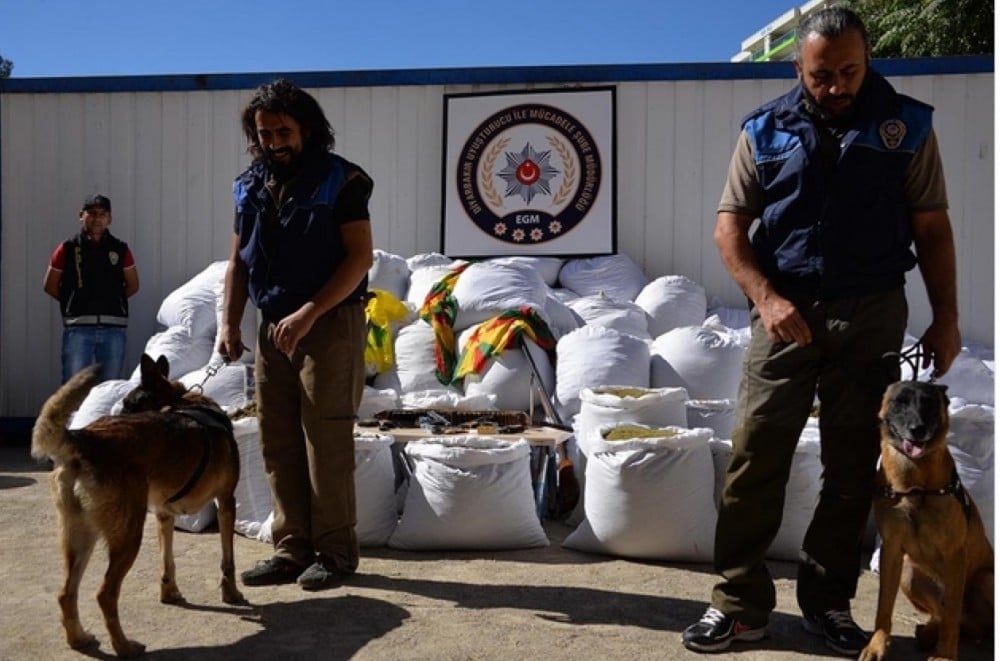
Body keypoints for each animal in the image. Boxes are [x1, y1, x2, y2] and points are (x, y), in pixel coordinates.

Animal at [32, 354, 244, 656]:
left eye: (129, 404)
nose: (117, 411)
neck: (183, 402)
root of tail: (86, 439)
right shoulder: (226, 502)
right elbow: (228, 560)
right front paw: (232, 593)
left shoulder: (164, 515)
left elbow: (167, 561)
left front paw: (170, 592)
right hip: (128, 535)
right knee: (105, 594)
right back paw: (123, 646)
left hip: (80, 537)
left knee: (66, 593)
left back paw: (79, 639)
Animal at [860, 378, 992, 660]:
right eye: (900, 402)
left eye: (930, 404)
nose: (917, 429)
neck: (915, 487)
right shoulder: (892, 551)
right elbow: (883, 606)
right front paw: (877, 645)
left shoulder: (955, 554)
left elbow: (951, 613)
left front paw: (945, 654)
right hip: (910, 572)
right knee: (945, 616)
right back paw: (928, 633)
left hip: (986, 580)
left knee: (957, 616)